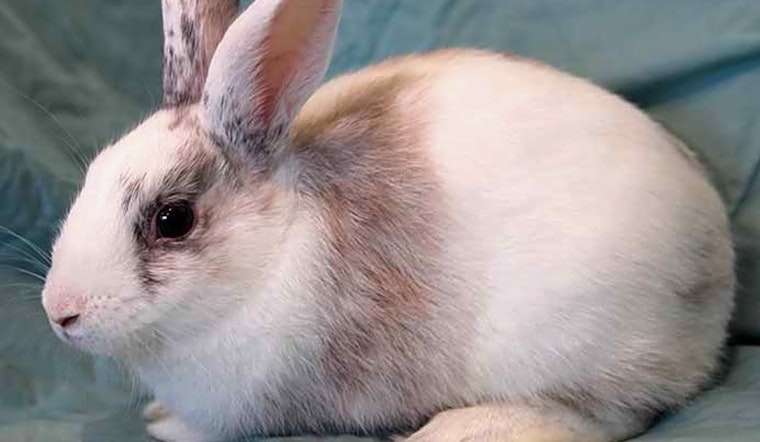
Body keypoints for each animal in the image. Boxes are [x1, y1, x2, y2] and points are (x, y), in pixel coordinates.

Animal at [40, 0, 735, 441]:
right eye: (94, 171)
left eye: (172, 218)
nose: (59, 312)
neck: (275, 248)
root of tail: (718, 258)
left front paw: (167, 424)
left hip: (580, 342)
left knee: (616, 415)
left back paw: (470, 430)